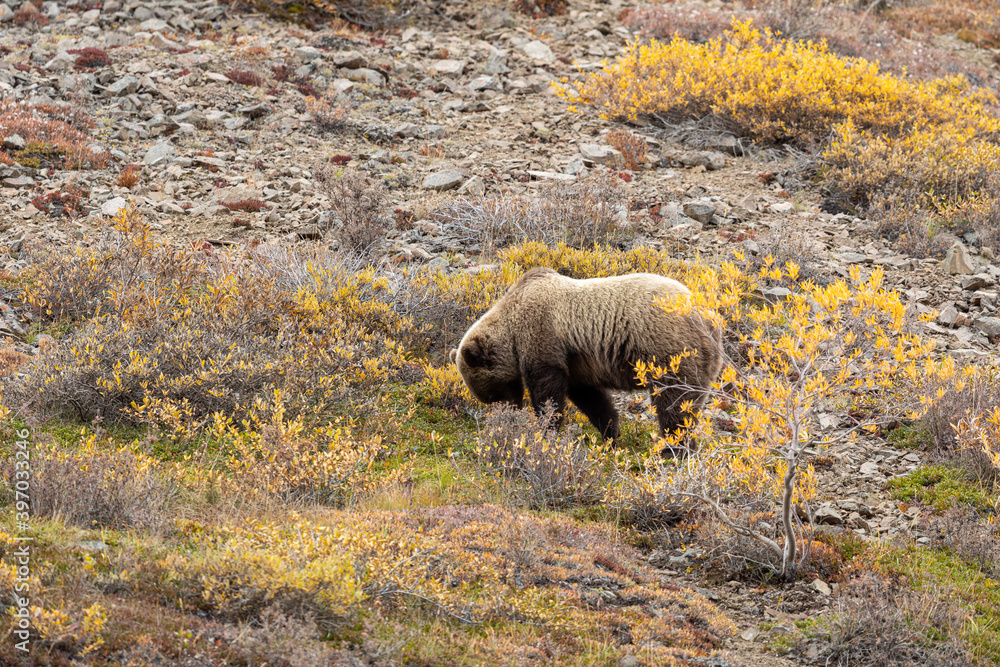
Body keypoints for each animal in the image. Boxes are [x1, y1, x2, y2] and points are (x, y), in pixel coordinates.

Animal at [450, 268, 724, 448]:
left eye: (492, 394)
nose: (507, 414)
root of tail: (709, 319)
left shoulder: (542, 337)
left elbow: (547, 392)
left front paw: (545, 431)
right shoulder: (578, 365)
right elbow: (592, 399)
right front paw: (610, 435)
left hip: (668, 351)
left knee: (674, 403)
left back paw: (674, 448)